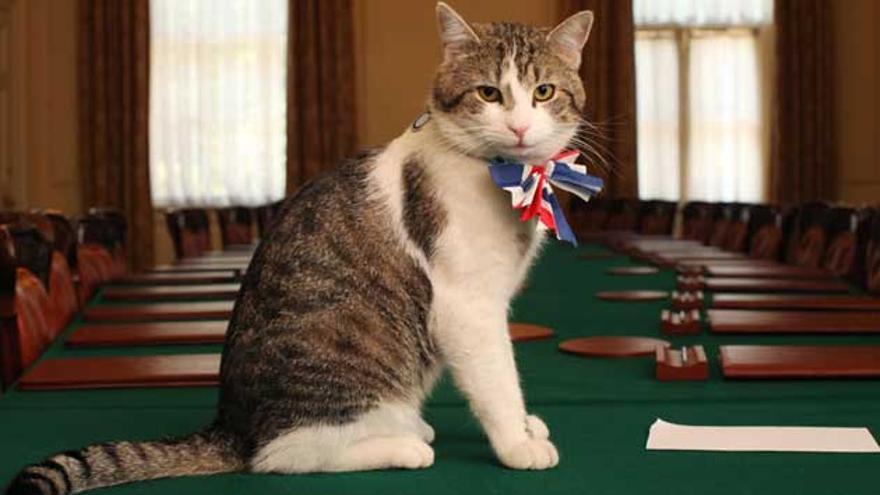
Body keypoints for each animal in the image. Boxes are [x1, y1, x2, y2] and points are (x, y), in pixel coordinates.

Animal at [3, 2, 596, 492]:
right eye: (488, 94)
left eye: (543, 92)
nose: (519, 127)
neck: (505, 175)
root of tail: (231, 425)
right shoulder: (467, 305)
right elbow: (498, 379)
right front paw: (517, 444)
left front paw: (526, 429)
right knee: (279, 456)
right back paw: (403, 444)